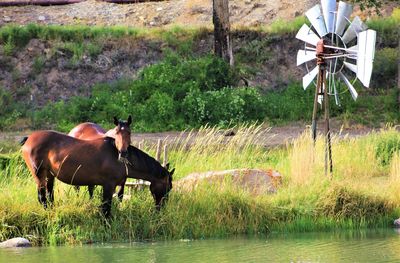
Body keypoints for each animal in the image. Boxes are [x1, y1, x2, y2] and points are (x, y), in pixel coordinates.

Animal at [20, 131, 173, 218]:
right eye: (168, 187)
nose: (161, 208)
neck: (119, 157)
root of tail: (29, 138)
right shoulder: (108, 185)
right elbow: (106, 208)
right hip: (39, 175)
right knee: (42, 197)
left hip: (49, 175)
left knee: (49, 195)